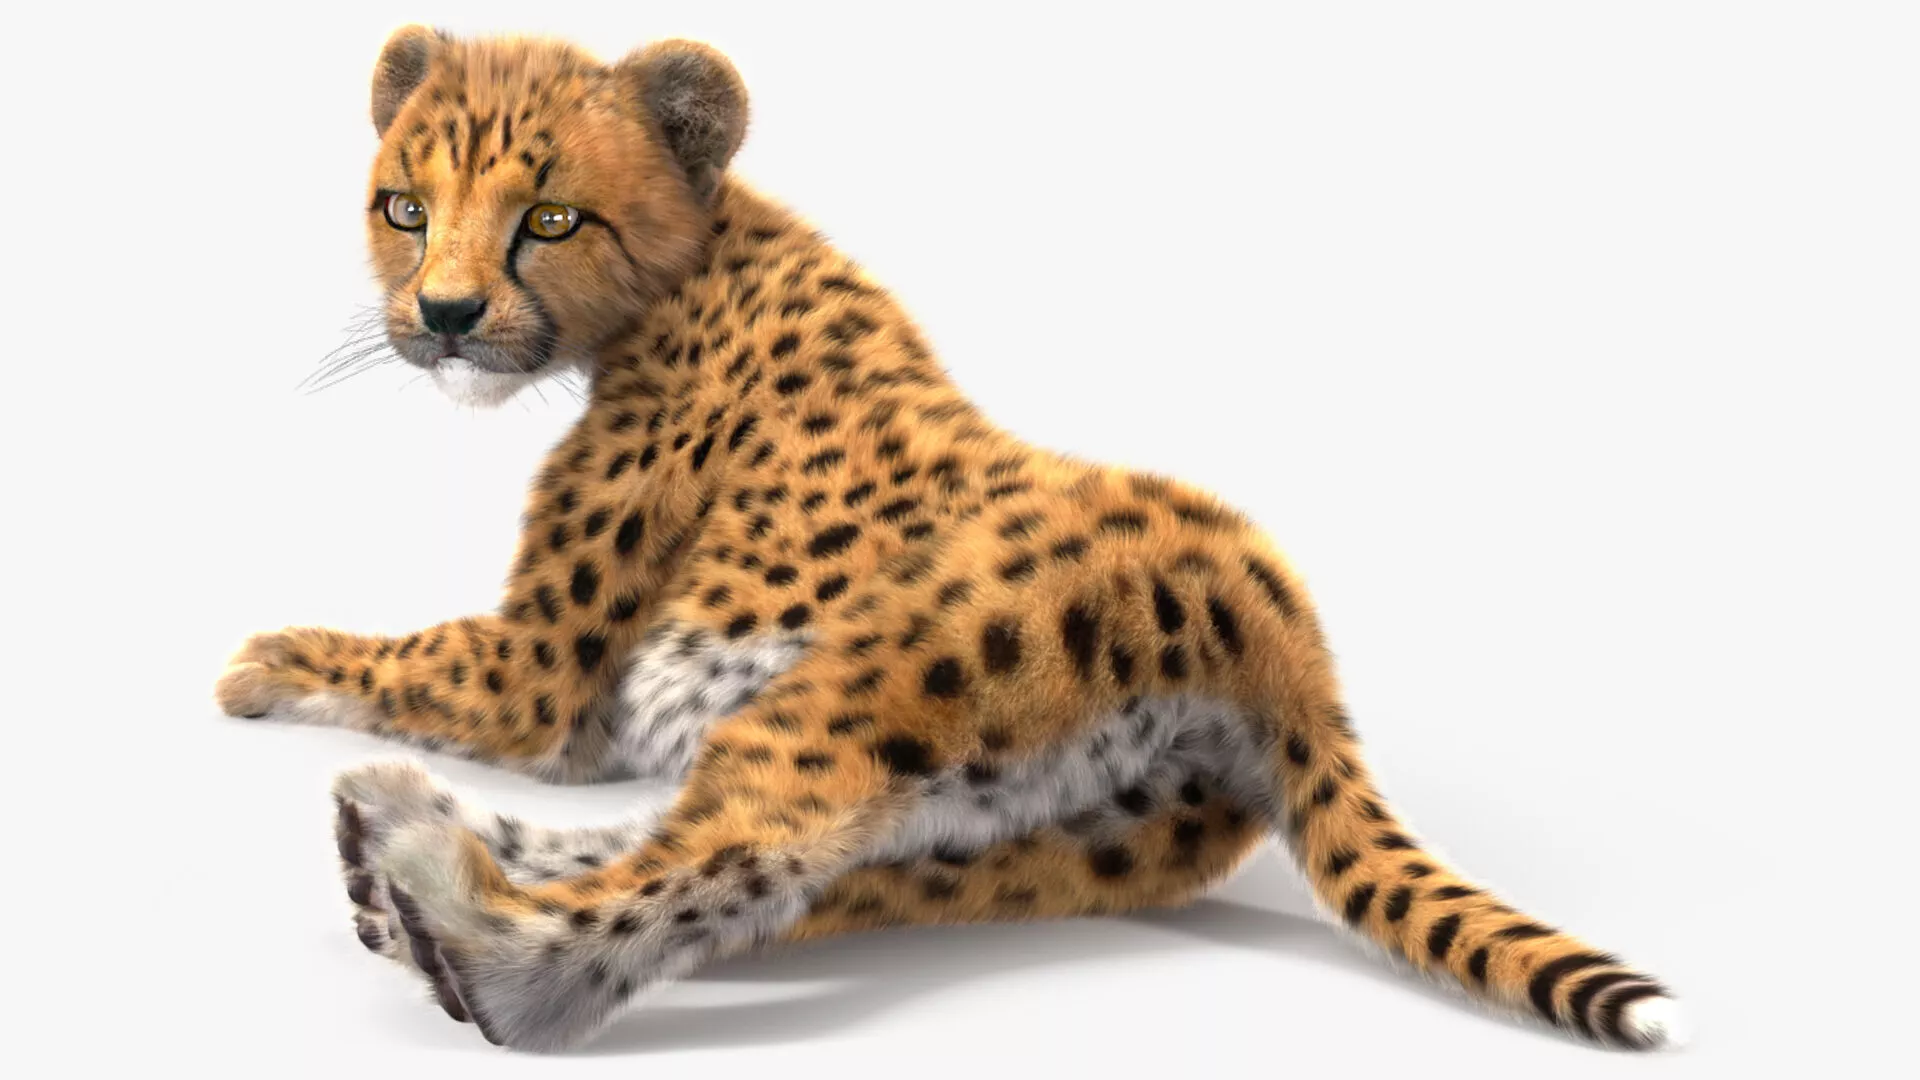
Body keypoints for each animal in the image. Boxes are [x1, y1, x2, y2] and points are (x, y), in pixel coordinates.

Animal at [214, 26, 1686, 1053]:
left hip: (862, 691)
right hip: (1040, 843)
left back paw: (459, 927)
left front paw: (262, 660)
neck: (708, 245)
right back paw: (417, 861)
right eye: (406, 208)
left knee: (737, 848)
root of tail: (1280, 626)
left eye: (552, 217)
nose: (447, 317)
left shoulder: (536, 681)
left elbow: (395, 653)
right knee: (786, 878)